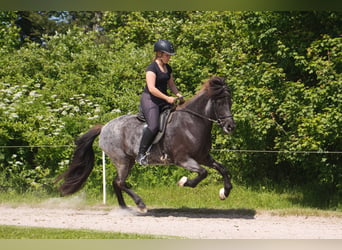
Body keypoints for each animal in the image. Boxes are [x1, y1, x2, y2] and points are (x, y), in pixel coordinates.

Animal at [56, 76, 235, 211]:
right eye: (219, 102)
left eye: (230, 101)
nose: (230, 126)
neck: (191, 122)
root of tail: (104, 127)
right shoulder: (183, 160)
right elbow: (203, 173)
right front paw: (184, 182)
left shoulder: (203, 157)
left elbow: (223, 169)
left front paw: (224, 192)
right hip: (121, 160)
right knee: (120, 182)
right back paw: (140, 204)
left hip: (128, 161)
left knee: (116, 182)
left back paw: (124, 208)